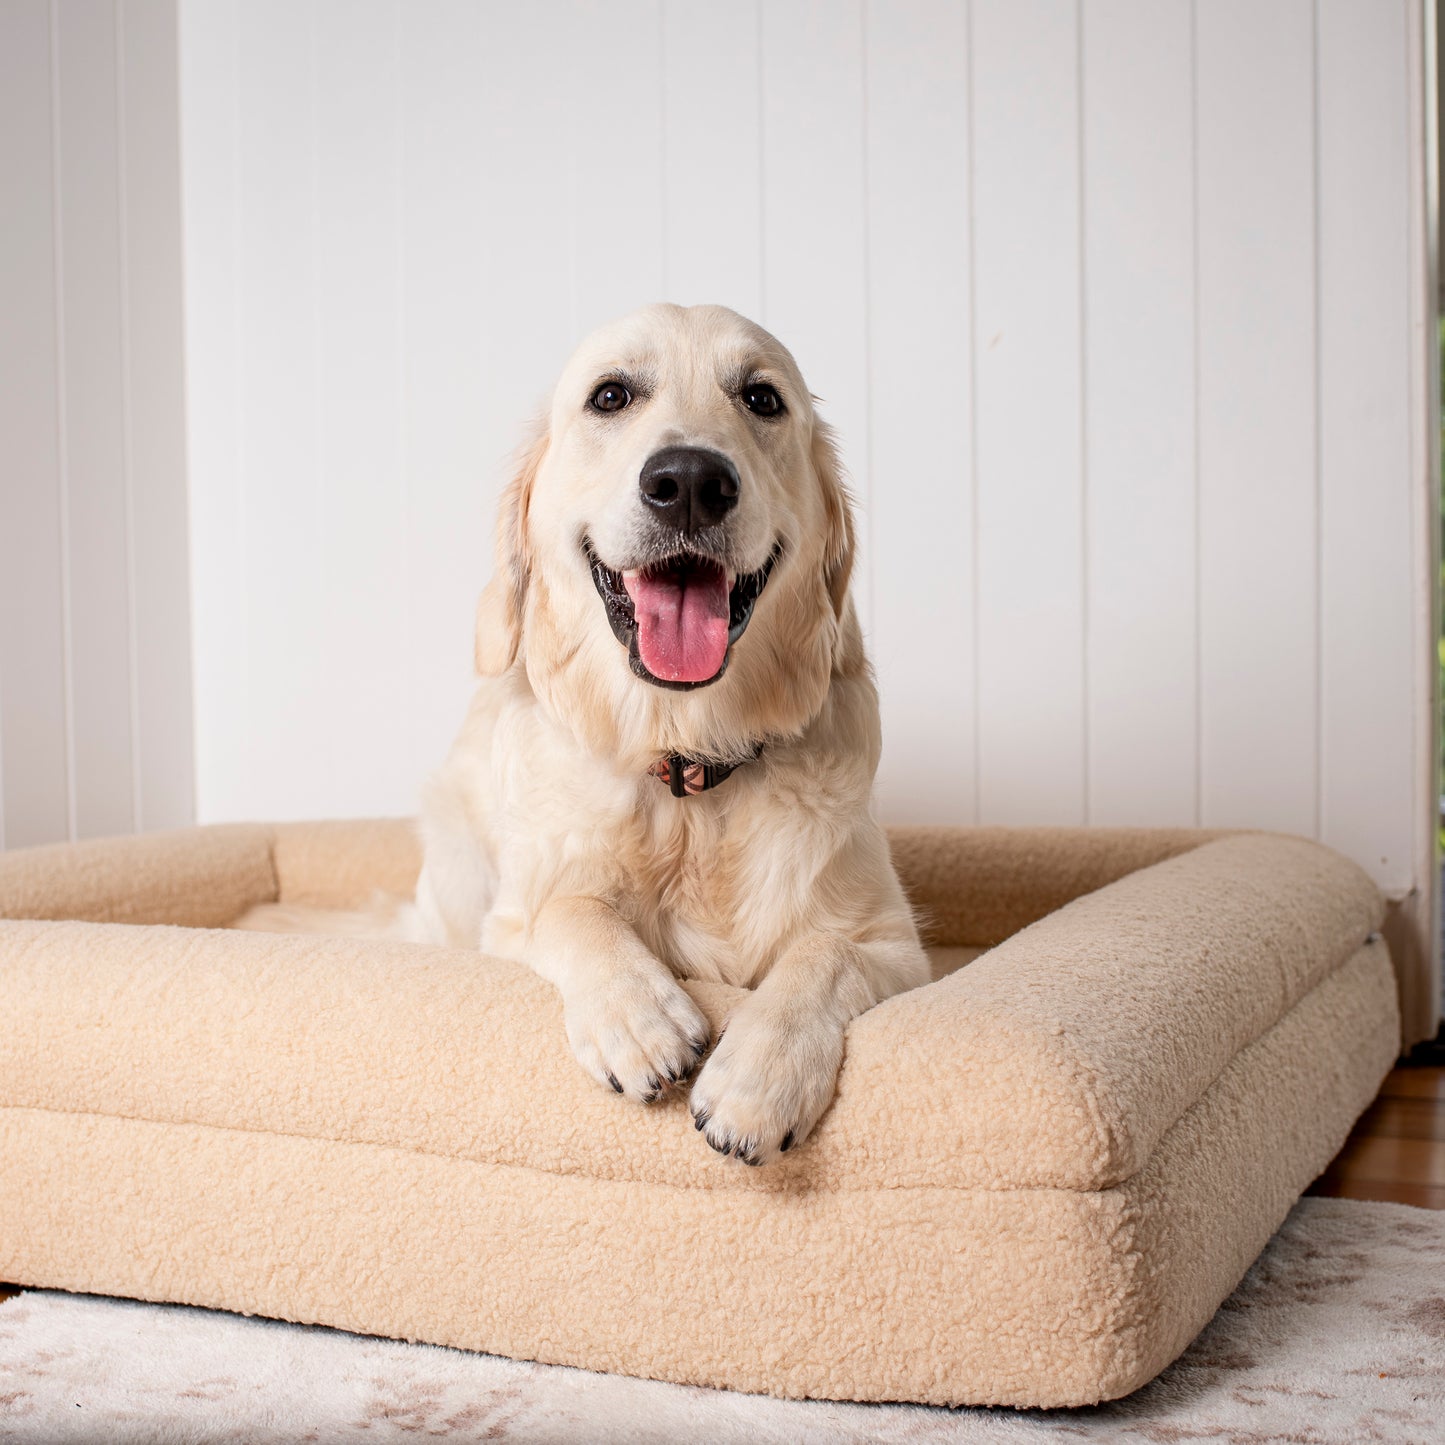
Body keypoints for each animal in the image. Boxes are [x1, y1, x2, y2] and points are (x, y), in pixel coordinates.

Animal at [247, 302, 924, 1161]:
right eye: (610, 396)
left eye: (761, 399)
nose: (689, 483)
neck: (684, 767)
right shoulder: (512, 919)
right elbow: (569, 909)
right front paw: (637, 1018)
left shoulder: (897, 945)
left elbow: (823, 953)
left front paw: (757, 1078)